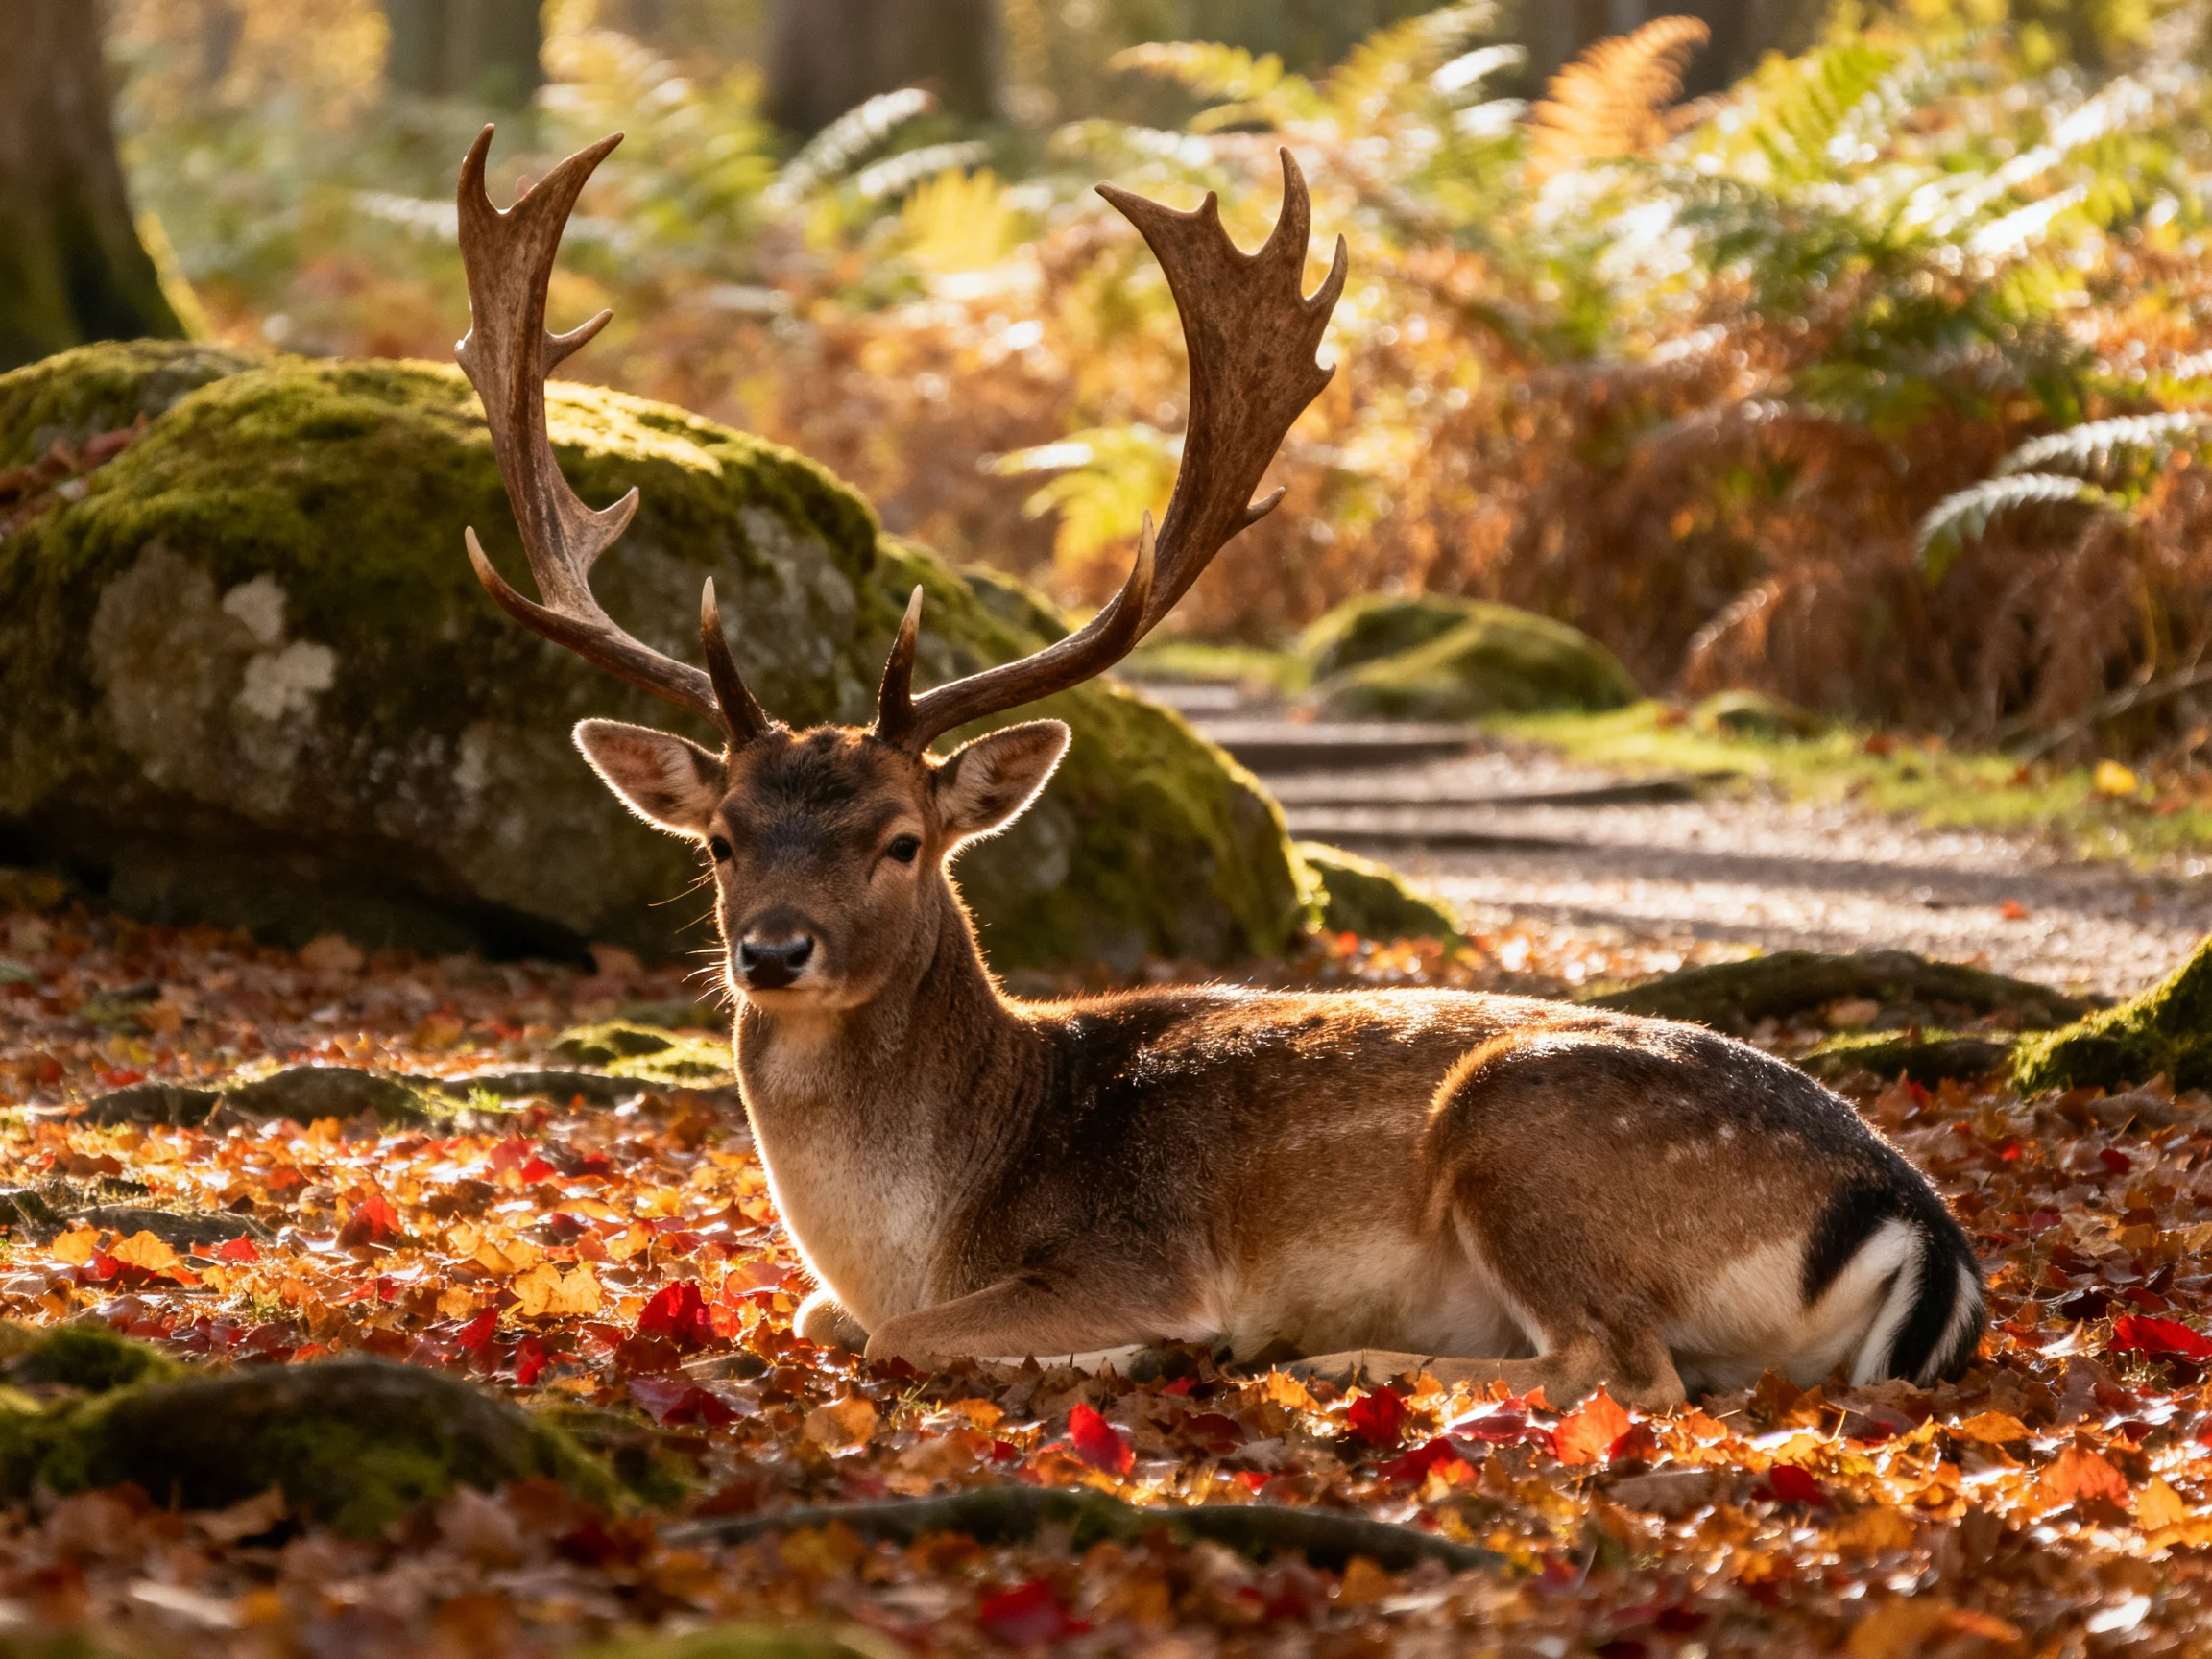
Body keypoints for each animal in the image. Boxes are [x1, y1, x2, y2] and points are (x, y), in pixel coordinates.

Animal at [451, 127, 1985, 1410]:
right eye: (720, 836)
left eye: (901, 838)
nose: (772, 950)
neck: (924, 1221)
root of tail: (1919, 1227)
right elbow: (818, 1315)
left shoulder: (1133, 1247)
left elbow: (898, 1335)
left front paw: (1132, 1350)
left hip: (1523, 1133)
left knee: (1624, 1369)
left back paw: (1334, 1359)